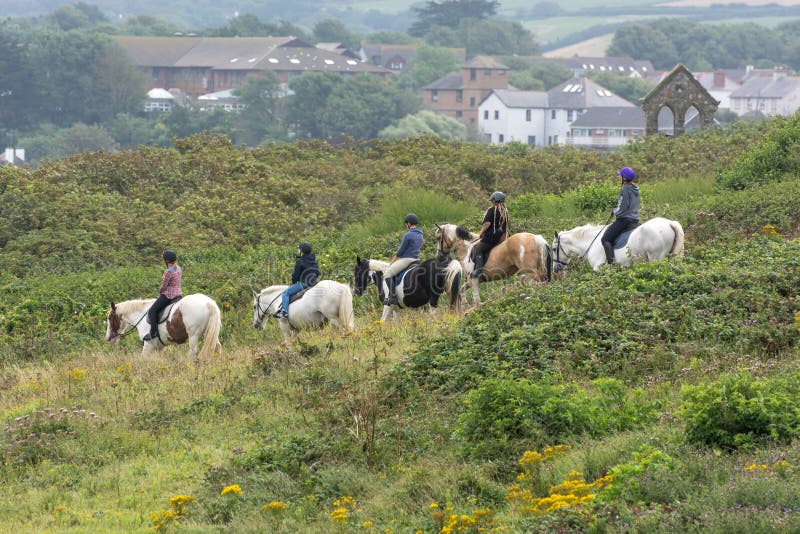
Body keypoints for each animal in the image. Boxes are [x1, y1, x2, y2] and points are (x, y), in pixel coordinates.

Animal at [552, 217, 685, 272]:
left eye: (553, 249)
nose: (555, 269)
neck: (591, 242)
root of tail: (670, 223)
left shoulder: (598, 267)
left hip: (656, 258)